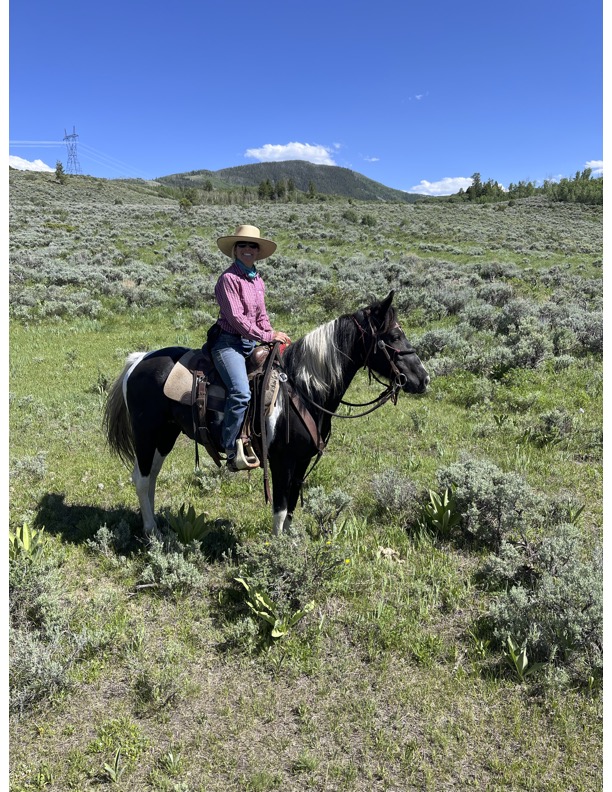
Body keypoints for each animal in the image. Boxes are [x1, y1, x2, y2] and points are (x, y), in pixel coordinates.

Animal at [103, 290, 428, 540]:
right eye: (394, 336)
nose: (423, 379)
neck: (304, 390)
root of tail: (138, 361)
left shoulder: (302, 460)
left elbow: (293, 507)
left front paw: (289, 546)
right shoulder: (282, 461)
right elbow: (281, 508)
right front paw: (276, 550)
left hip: (165, 435)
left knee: (151, 477)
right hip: (147, 434)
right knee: (142, 478)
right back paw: (152, 533)